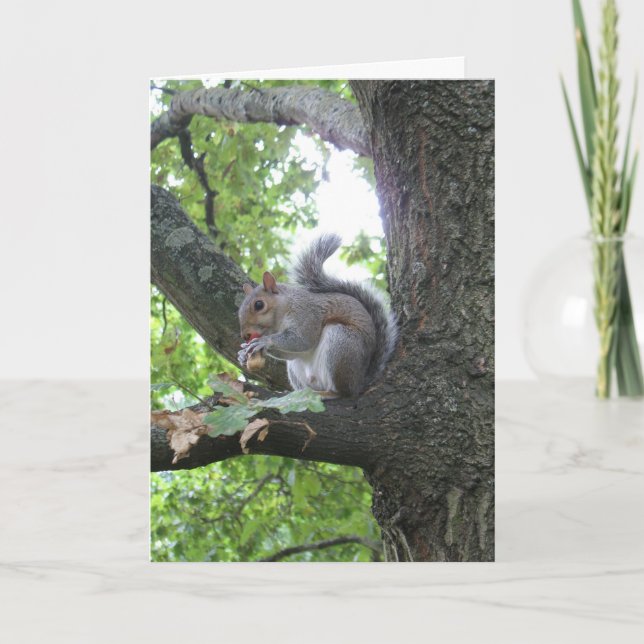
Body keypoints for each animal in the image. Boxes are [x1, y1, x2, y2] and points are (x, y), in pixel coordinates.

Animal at [237, 233, 397, 398]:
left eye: (259, 305)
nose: (245, 335)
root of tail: (359, 382)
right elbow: (292, 352)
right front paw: (243, 353)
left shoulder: (307, 315)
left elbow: (303, 340)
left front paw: (265, 341)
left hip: (342, 343)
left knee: (343, 392)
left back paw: (329, 394)